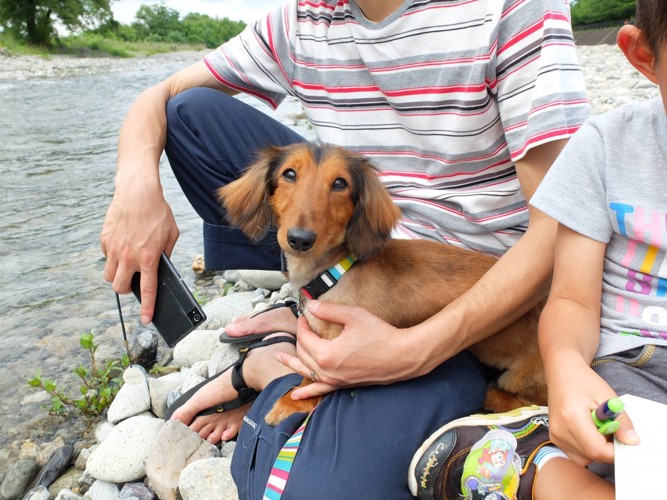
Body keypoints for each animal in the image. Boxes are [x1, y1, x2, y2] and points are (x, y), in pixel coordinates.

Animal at [219, 142, 548, 426]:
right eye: (289, 174)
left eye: (340, 183)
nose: (300, 239)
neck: (335, 272)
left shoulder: (332, 351)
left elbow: (315, 379)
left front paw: (294, 400)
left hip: (523, 377)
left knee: (527, 401)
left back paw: (491, 395)